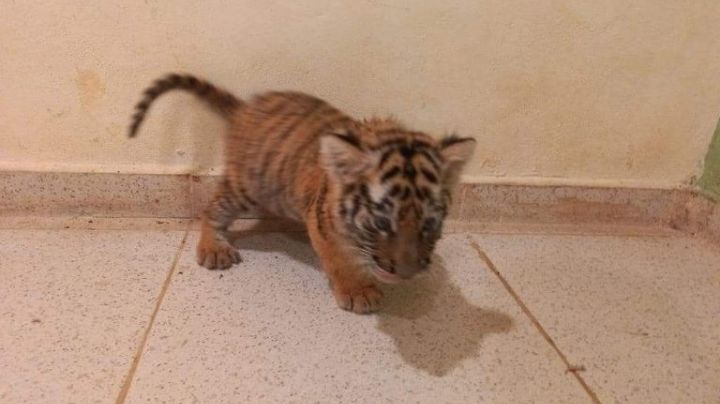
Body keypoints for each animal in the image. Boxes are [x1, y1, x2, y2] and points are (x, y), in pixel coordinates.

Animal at [128, 73, 475, 314]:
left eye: (429, 224)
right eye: (380, 222)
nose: (404, 273)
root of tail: (245, 107)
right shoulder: (322, 223)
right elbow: (340, 259)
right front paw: (358, 291)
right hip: (249, 187)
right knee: (212, 209)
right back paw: (214, 248)